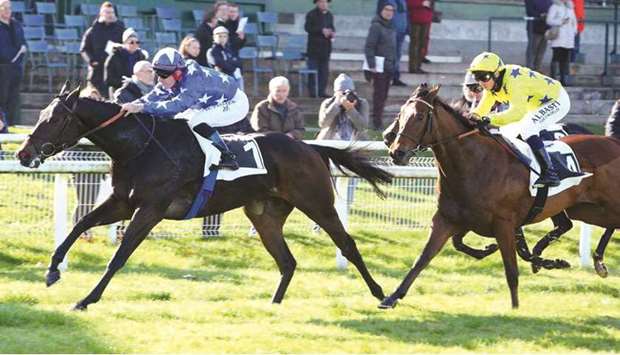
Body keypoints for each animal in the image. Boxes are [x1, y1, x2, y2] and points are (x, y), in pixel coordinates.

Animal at [18, 84, 392, 312]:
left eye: (54, 119)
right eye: (41, 116)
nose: (23, 153)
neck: (141, 146)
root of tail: (311, 147)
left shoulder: (150, 209)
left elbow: (119, 257)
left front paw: (86, 298)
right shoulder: (122, 203)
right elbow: (80, 224)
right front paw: (52, 271)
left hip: (317, 203)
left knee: (347, 245)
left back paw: (382, 294)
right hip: (264, 215)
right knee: (287, 261)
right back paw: (273, 305)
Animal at [380, 85, 616, 310]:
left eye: (420, 116)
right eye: (400, 114)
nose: (395, 151)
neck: (474, 164)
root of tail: (613, 141)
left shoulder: (504, 224)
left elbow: (511, 271)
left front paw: (515, 309)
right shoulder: (449, 219)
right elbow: (425, 257)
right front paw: (392, 297)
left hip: (604, 204)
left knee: (610, 224)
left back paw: (596, 262)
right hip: (581, 208)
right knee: (571, 224)